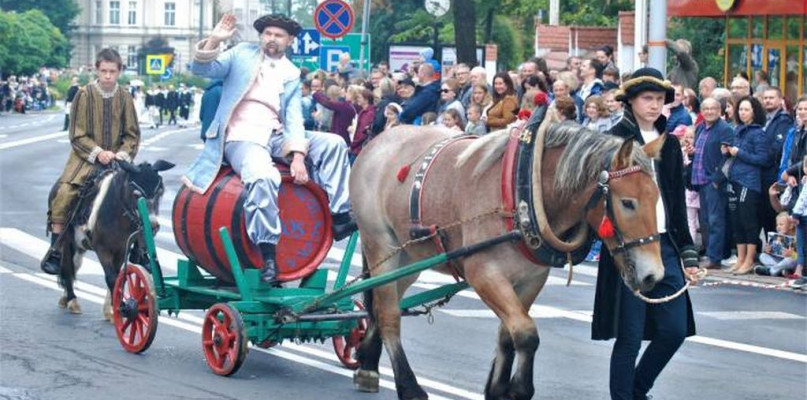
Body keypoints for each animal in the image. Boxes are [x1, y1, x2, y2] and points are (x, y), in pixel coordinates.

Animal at [54, 159, 174, 318]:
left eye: (160, 192)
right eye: (135, 193)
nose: (153, 226)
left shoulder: (121, 250)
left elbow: (118, 277)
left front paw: (111, 308)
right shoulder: (103, 250)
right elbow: (111, 277)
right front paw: (121, 307)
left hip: (80, 245)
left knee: (75, 265)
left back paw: (65, 297)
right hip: (68, 241)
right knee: (68, 267)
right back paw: (71, 300)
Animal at [350, 119, 664, 400]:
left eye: (657, 199)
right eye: (627, 203)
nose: (654, 275)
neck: (524, 191)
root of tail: (380, 140)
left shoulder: (531, 279)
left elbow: (508, 333)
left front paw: (498, 388)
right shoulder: (484, 274)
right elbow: (526, 332)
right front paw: (519, 389)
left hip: (409, 258)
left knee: (381, 304)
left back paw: (368, 362)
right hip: (381, 245)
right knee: (389, 313)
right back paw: (406, 384)